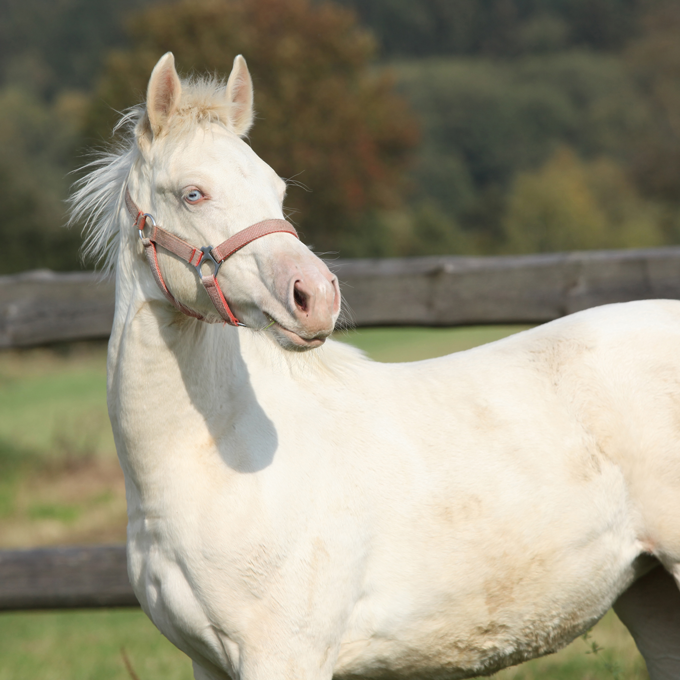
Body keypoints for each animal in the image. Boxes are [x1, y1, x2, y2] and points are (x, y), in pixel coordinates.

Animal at [70, 52, 680, 680]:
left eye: (276, 188)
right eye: (193, 193)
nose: (314, 296)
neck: (211, 458)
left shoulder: (285, 655)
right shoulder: (208, 664)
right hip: (653, 595)